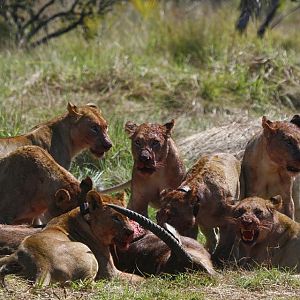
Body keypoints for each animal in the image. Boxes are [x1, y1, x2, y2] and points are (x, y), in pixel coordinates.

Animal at [0, 190, 142, 286]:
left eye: (127, 217)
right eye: (115, 218)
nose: (131, 231)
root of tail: (42, 263)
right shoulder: (110, 273)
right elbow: (140, 278)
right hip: (87, 253)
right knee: (88, 284)